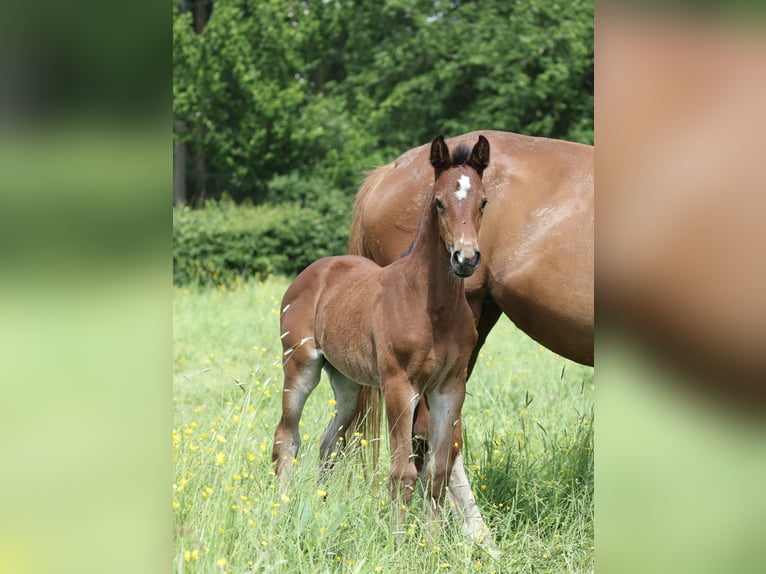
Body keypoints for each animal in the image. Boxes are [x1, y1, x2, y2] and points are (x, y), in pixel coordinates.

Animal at [272, 137, 496, 544]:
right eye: (438, 201)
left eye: (483, 201)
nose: (466, 258)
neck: (431, 306)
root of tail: (311, 272)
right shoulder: (399, 385)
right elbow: (402, 471)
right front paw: (399, 542)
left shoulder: (449, 387)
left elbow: (437, 472)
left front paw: (432, 546)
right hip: (300, 367)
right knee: (287, 438)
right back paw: (279, 514)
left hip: (346, 383)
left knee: (329, 444)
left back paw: (321, 510)